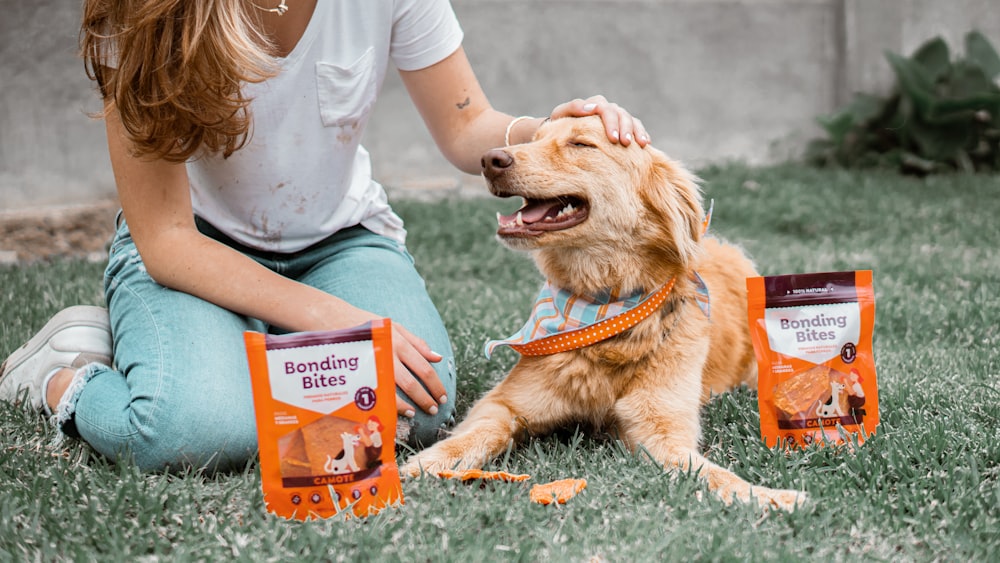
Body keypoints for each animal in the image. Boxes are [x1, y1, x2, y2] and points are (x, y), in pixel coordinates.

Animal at [402, 115, 808, 512]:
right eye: (534, 138)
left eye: (581, 144)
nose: (490, 159)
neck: (605, 310)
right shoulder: (503, 404)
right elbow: (478, 434)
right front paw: (419, 466)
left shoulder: (661, 429)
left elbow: (711, 473)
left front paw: (770, 496)